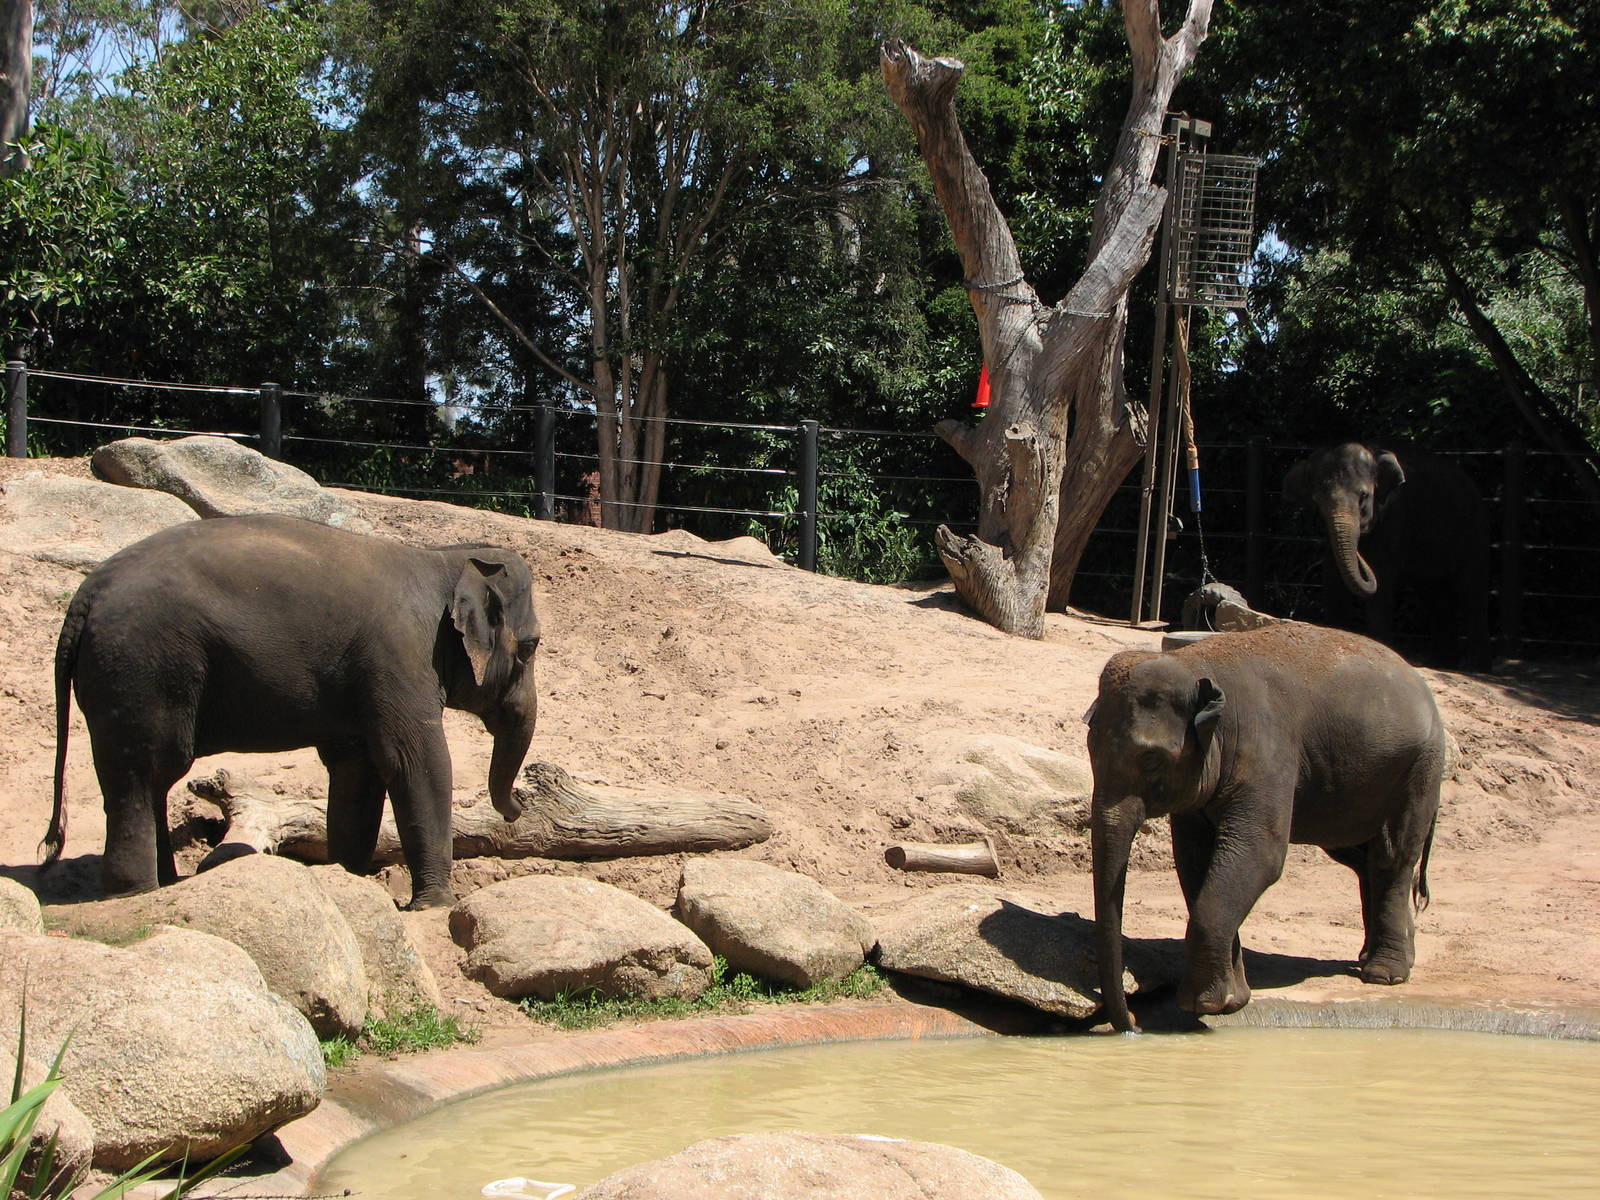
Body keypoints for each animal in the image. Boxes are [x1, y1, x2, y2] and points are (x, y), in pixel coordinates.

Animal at [42, 513, 541, 909]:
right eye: (532, 646)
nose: (516, 811)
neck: (442, 558)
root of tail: (83, 598)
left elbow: (358, 770)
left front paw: (347, 878)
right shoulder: (399, 659)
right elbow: (414, 761)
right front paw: (435, 906)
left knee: (148, 781)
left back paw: (166, 883)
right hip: (143, 670)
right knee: (143, 776)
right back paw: (136, 892)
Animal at [1085, 622, 1445, 1032]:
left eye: (1150, 759)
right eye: (1089, 748)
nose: (1133, 1022)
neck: (1195, 664)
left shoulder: (1268, 752)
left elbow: (1260, 855)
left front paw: (1205, 1004)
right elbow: (1194, 860)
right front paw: (1232, 1001)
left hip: (1420, 766)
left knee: (1392, 854)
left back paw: (1384, 974)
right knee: (1360, 857)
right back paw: (1378, 956)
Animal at [1283, 442, 1492, 669]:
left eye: (1363, 496)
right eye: (1317, 501)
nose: (1361, 545)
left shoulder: (1395, 515)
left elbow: (1381, 580)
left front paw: (1381, 649)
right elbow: (1332, 578)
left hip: (1473, 530)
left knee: (1472, 592)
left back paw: (1476, 668)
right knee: (1437, 598)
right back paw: (1441, 664)